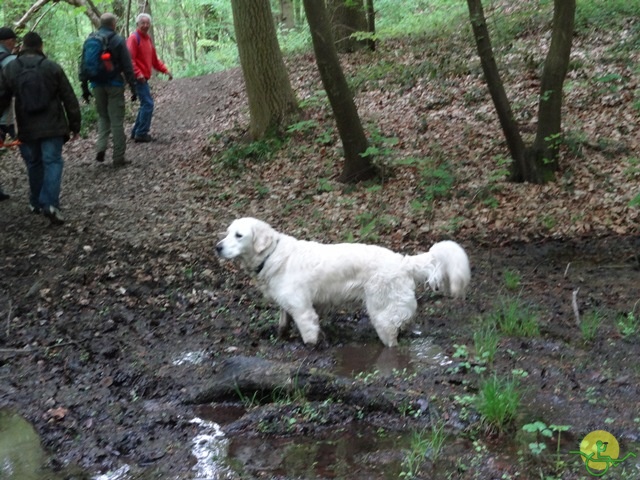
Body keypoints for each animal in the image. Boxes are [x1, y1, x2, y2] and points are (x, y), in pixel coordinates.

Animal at [216, 217, 470, 344]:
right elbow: (282, 323)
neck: (272, 255)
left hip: (381, 315)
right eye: (226, 233)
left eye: (239, 235)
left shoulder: (303, 311)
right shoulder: (287, 305)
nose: (217, 247)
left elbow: (309, 337)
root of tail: (402, 261)